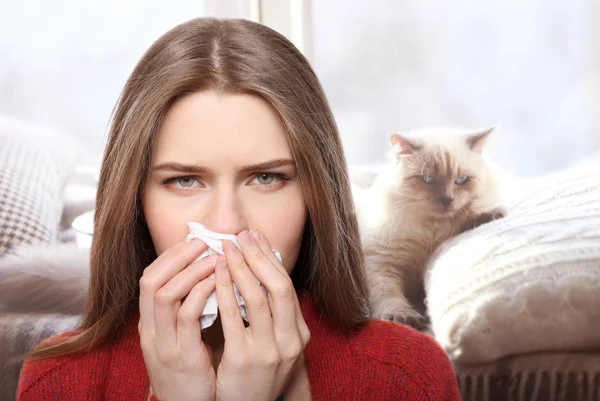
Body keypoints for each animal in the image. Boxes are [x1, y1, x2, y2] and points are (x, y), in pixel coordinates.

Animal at [356, 126, 506, 328]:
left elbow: (468, 219)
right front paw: (404, 317)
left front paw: (493, 214)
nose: (447, 200)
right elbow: (388, 295)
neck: (432, 232)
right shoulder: (381, 263)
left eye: (461, 180)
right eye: (428, 179)